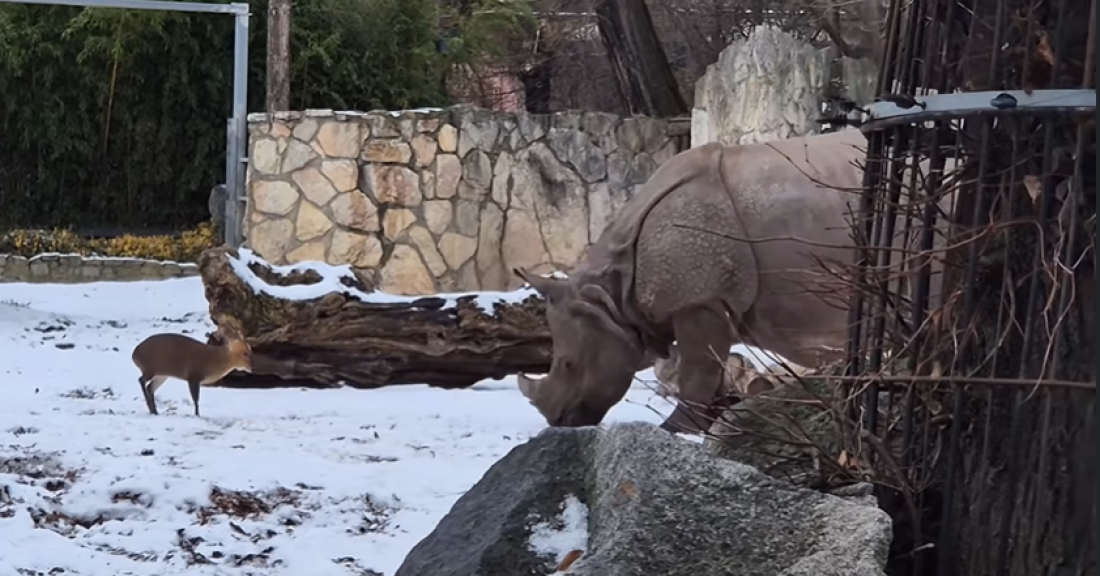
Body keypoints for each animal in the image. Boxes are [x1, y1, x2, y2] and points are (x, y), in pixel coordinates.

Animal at [515, 128, 957, 434]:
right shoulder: (709, 299)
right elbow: (706, 371)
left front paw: (674, 431)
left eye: (568, 363)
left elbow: (698, 372)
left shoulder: (701, 300)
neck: (612, 292)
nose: (557, 422)